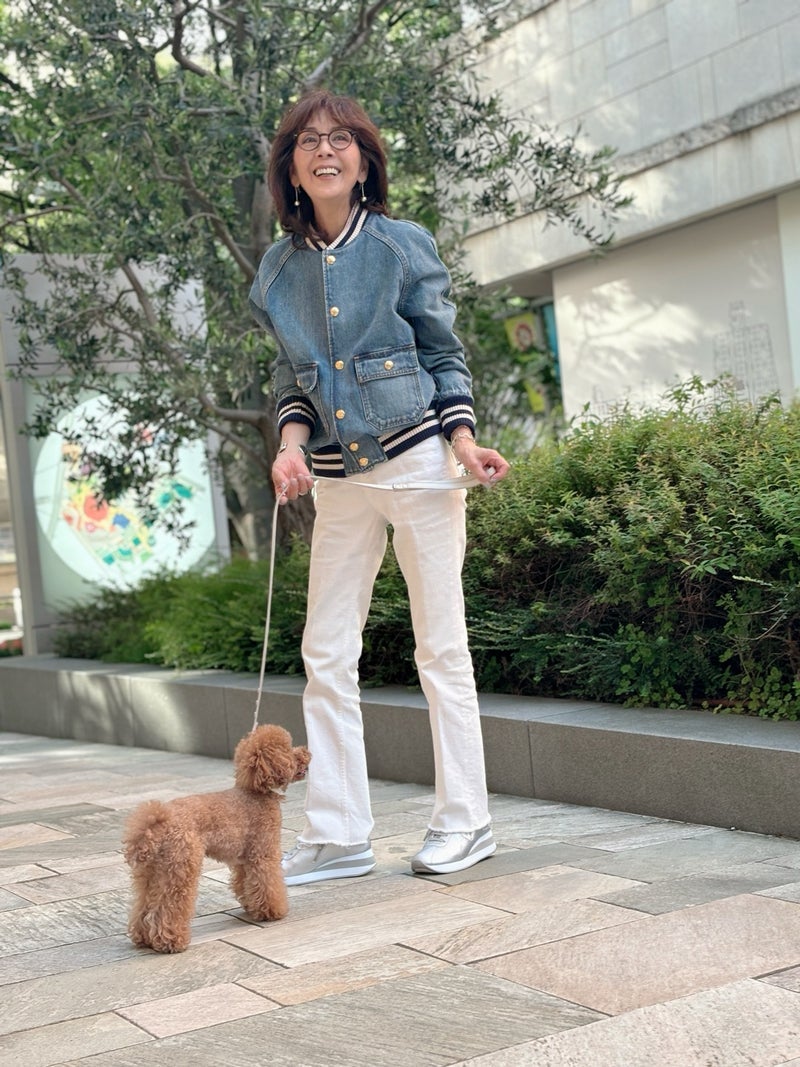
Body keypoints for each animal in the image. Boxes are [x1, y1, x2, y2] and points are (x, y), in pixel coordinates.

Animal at [122, 724, 310, 953]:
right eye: (289, 750)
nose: (307, 753)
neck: (256, 791)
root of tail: (158, 823)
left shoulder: (243, 859)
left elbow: (246, 882)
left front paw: (251, 906)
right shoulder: (262, 852)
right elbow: (267, 882)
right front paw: (272, 911)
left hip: (151, 873)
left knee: (143, 905)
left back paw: (143, 938)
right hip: (182, 866)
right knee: (169, 907)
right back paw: (171, 941)